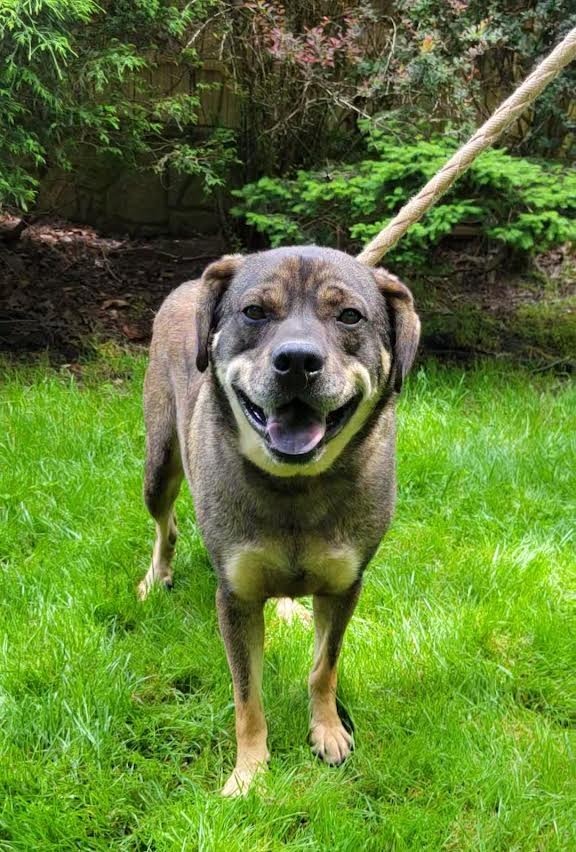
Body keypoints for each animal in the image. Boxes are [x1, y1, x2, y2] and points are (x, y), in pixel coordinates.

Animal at [138, 246, 420, 800]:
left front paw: (327, 730)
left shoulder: (345, 586)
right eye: (254, 312)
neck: (296, 487)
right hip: (159, 464)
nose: (297, 361)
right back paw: (156, 576)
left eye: (349, 315)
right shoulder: (236, 597)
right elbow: (247, 696)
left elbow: (323, 667)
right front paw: (249, 772)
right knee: (166, 524)